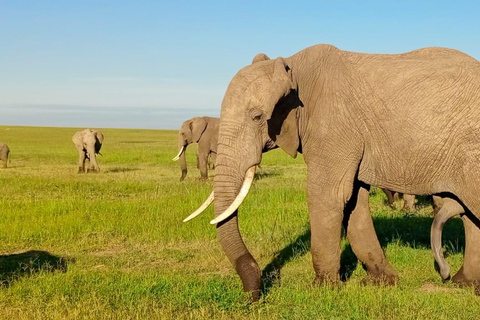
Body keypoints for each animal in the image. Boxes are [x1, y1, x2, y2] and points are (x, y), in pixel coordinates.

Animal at [186, 43, 480, 300]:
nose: (254, 294)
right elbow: (353, 201)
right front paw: (382, 281)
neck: (293, 66)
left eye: (257, 117)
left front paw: (322, 289)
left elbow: (329, 195)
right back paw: (463, 282)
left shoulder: (333, 124)